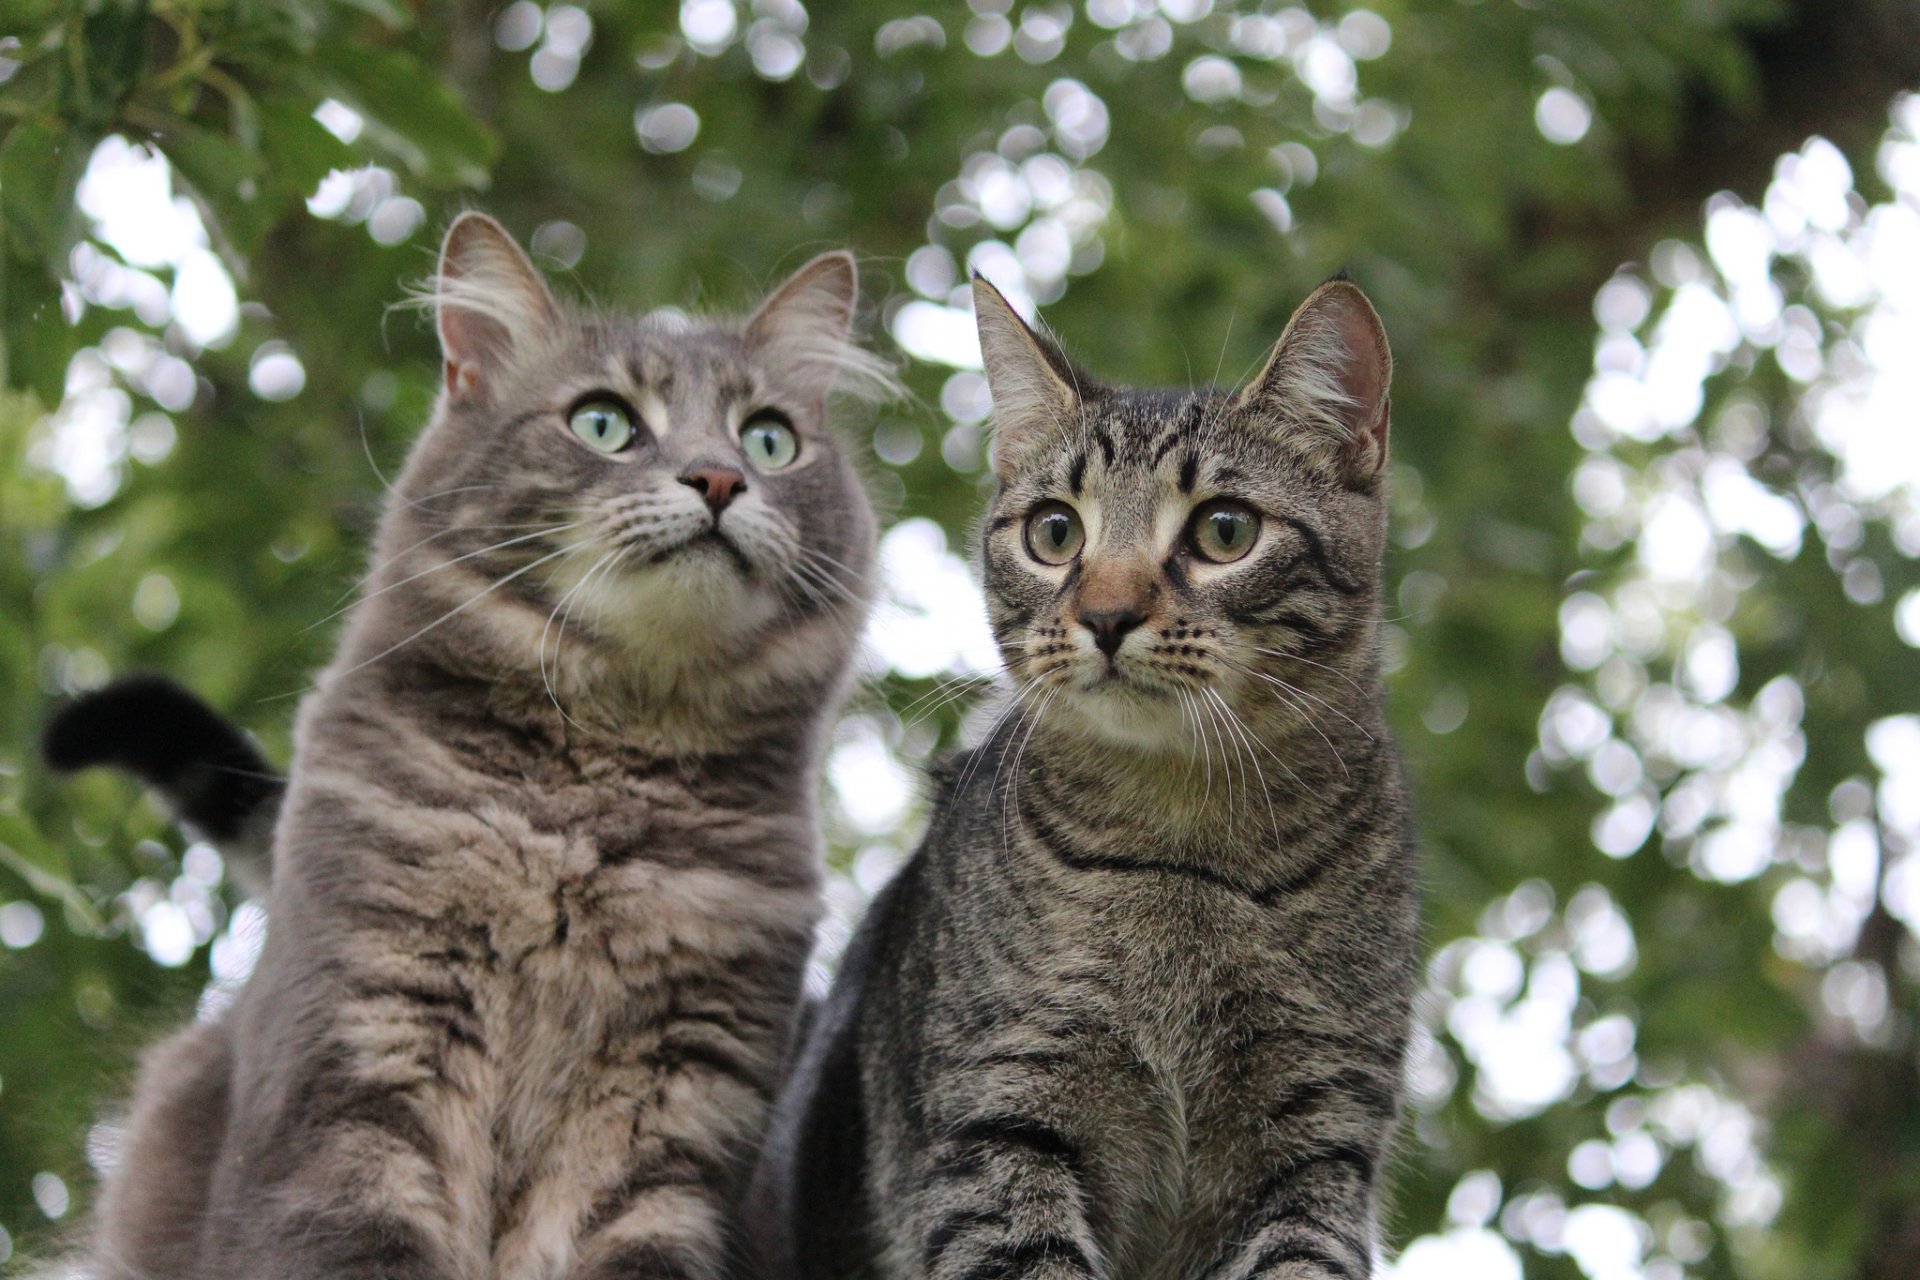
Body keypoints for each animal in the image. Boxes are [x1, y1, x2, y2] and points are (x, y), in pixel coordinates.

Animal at [54, 213, 890, 1280]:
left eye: (770, 439)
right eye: (604, 422)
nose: (718, 477)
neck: (590, 806)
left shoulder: (676, 1127)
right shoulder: (361, 1069)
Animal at [748, 276, 1428, 1274]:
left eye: (1226, 530)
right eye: (1056, 532)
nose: (1105, 616)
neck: (1185, 842)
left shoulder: (1319, 1146)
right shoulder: (994, 1127)